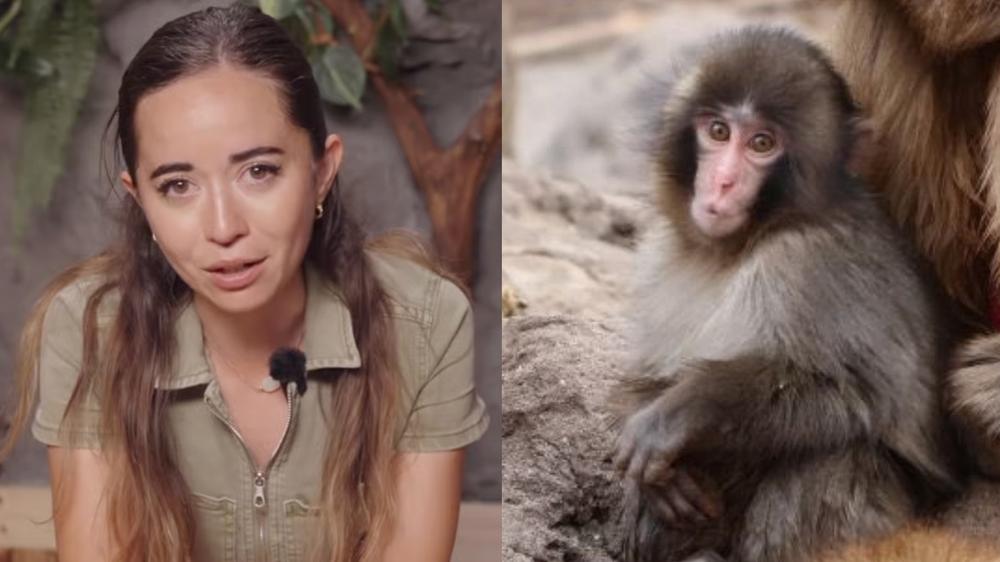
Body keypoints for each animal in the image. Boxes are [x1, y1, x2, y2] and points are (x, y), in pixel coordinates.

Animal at [608, 27, 961, 562]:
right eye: (718, 132)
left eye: (762, 143)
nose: (722, 182)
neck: (739, 246)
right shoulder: (661, 254)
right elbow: (647, 377)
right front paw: (659, 471)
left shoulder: (810, 262)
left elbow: (851, 391)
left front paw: (683, 412)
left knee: (834, 458)